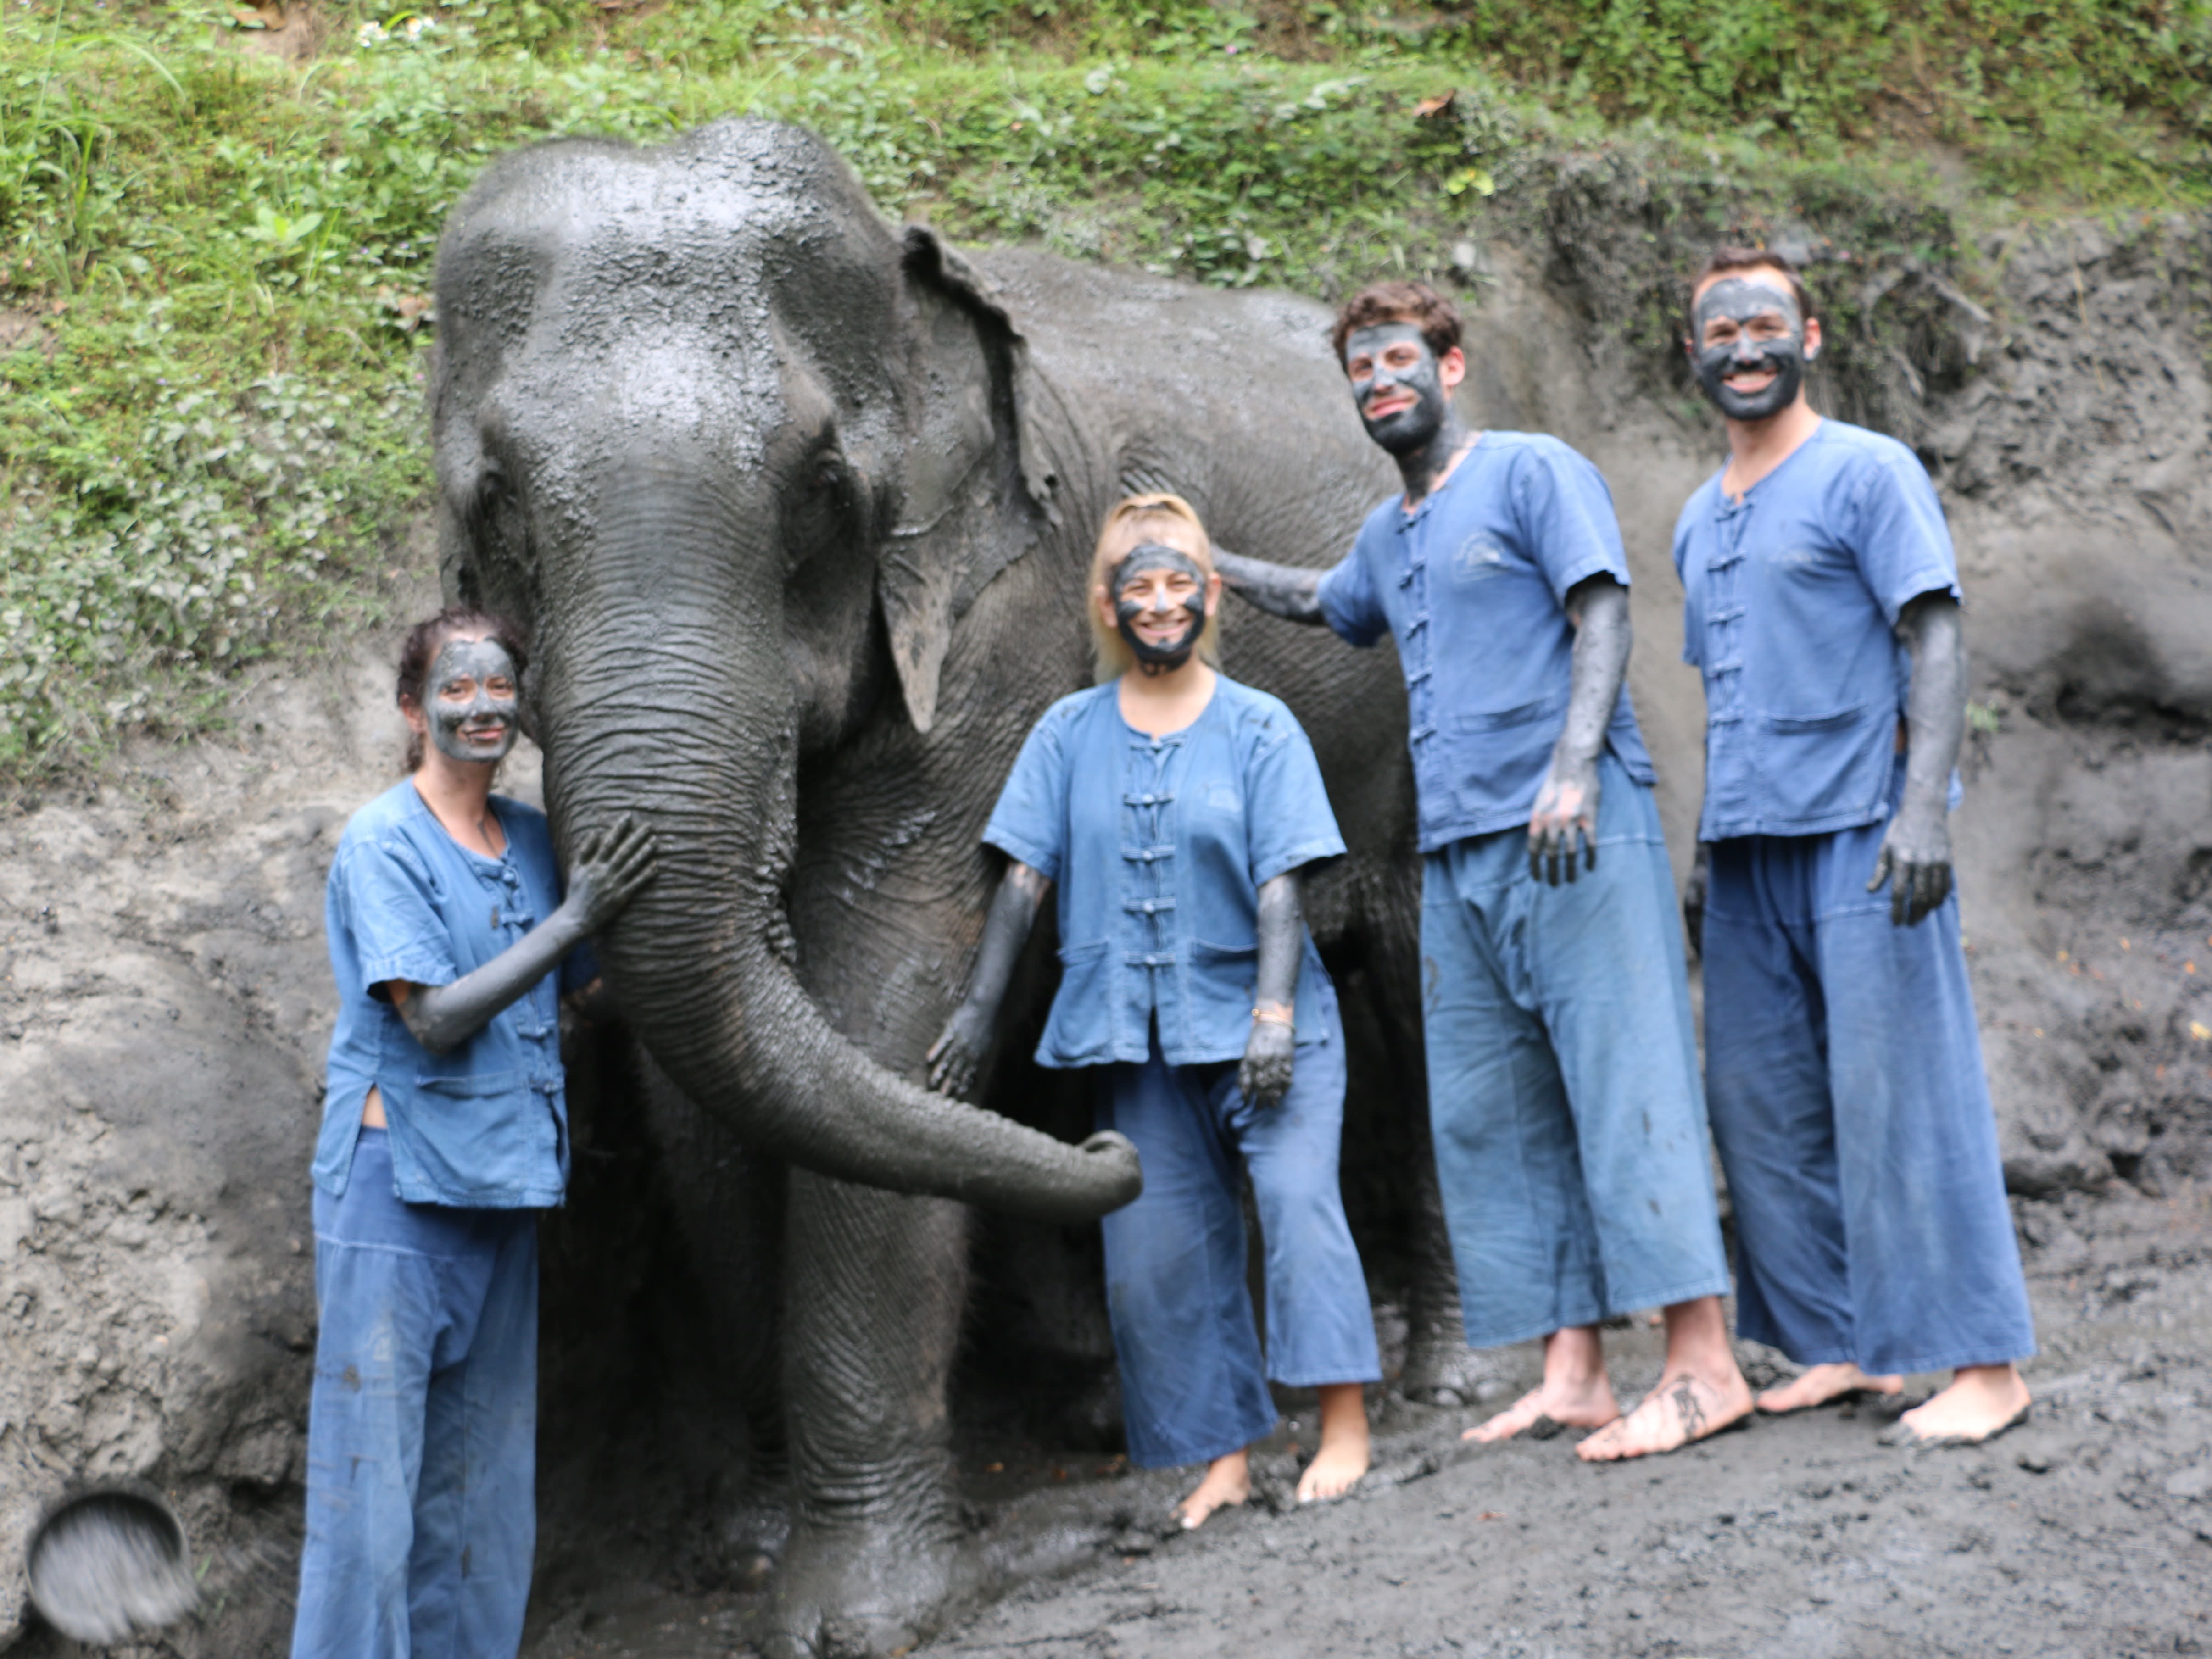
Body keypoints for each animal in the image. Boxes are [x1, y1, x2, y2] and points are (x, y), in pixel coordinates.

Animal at [424, 114, 1477, 1654]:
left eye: (820, 489)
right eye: (494, 500)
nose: (1104, 1165)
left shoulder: (1004, 620)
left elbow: (875, 1001)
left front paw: (856, 1614)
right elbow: (705, 1090)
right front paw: (745, 1548)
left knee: (1407, 976)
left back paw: (1441, 1382)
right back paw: (1126, 1398)